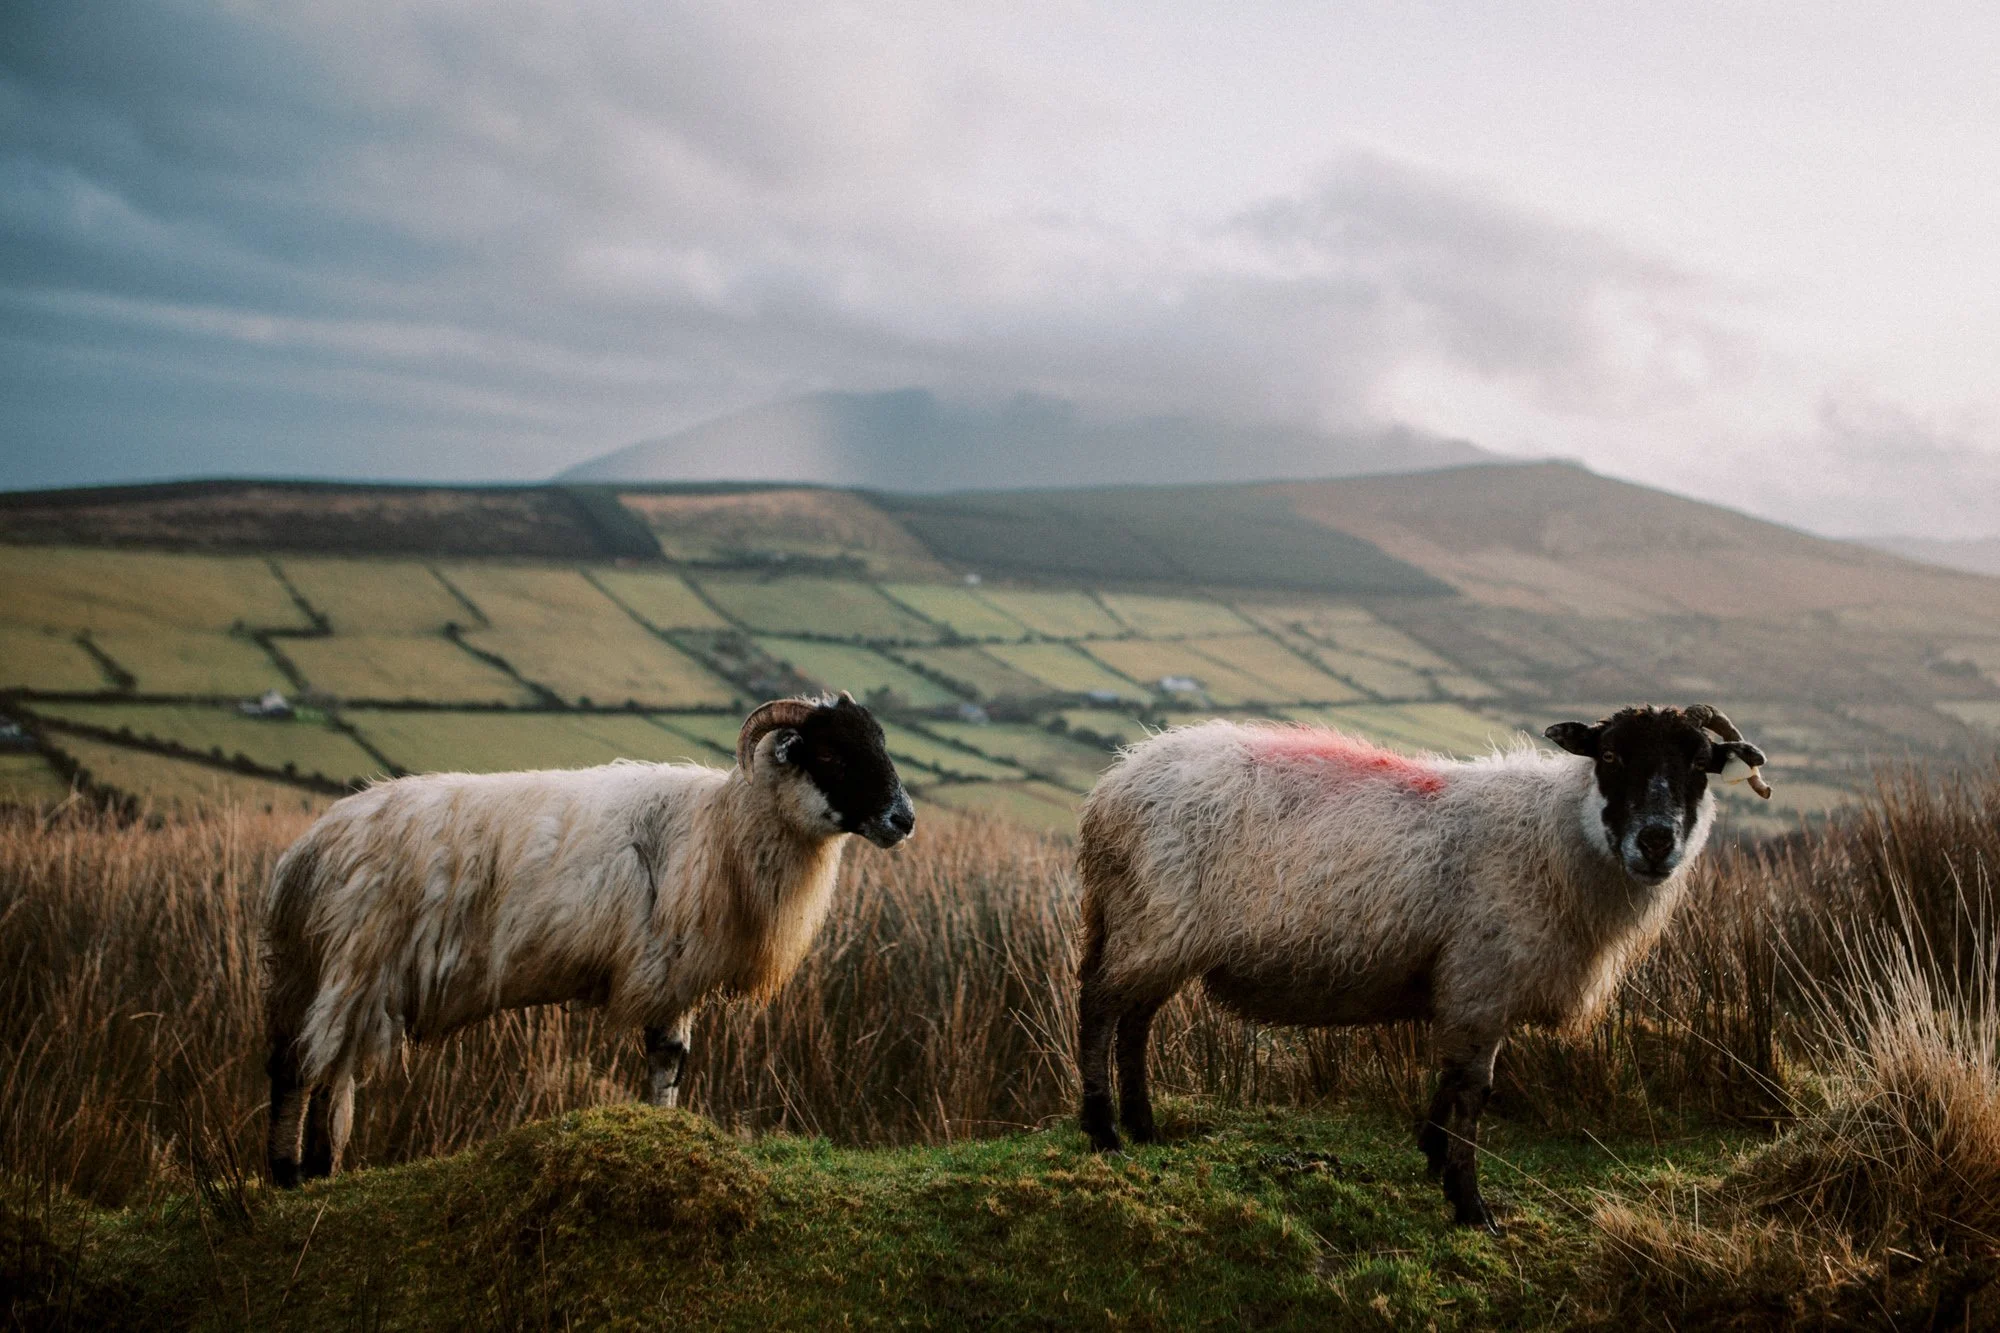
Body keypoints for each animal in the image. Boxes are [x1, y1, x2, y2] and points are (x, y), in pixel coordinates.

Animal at [263, 693, 914, 1187]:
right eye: (829, 752)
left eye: (879, 743)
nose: (904, 820)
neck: (723, 824)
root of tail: (306, 852)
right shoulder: (662, 966)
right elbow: (667, 1058)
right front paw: (661, 1135)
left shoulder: (675, 975)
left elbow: (673, 1063)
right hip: (354, 967)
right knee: (302, 1071)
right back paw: (289, 1175)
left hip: (320, 972)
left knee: (317, 1070)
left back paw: (320, 1170)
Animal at [1074, 704, 1767, 1230]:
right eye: (1613, 757)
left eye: (1700, 766)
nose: (1656, 841)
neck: (1561, 835)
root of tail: (1113, 788)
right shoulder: (1482, 977)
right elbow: (1473, 1091)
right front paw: (1469, 1205)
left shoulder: (1466, 984)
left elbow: (1453, 1081)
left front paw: (1432, 1154)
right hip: (1152, 922)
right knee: (1101, 1011)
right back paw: (1104, 1130)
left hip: (1154, 932)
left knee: (1136, 1022)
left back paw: (1143, 1127)